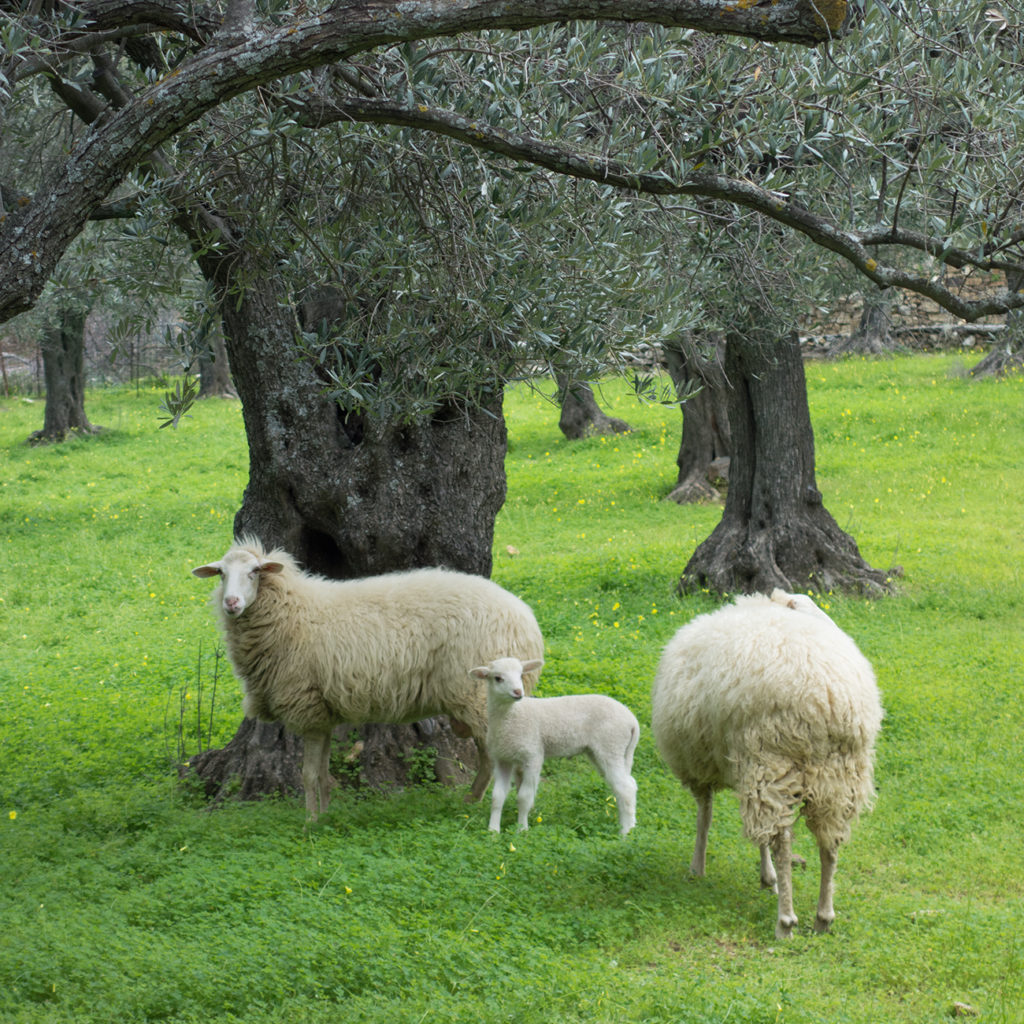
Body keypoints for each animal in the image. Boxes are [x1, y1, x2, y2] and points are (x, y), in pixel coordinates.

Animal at [192, 540, 544, 819]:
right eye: (221, 573)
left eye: (254, 572)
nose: (231, 603)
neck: (291, 611)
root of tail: (526, 617)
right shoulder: (322, 714)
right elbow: (322, 773)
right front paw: (325, 813)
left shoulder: (307, 708)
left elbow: (307, 774)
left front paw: (309, 822)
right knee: (489, 758)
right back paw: (472, 801)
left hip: (478, 697)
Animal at [471, 659, 638, 835]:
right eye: (497, 678)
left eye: (520, 674)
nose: (518, 692)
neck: (511, 716)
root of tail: (632, 721)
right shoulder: (502, 759)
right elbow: (497, 797)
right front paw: (493, 831)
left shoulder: (533, 755)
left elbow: (524, 798)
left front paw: (522, 830)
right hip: (607, 751)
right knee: (627, 785)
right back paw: (628, 825)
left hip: (610, 746)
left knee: (626, 789)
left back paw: (625, 833)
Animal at [651, 593, 884, 937]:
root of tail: (827, 697)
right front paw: (766, 878)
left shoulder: (703, 768)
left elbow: (704, 818)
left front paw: (698, 867)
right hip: (837, 774)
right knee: (829, 843)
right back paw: (823, 917)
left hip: (771, 760)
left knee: (782, 841)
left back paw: (785, 920)